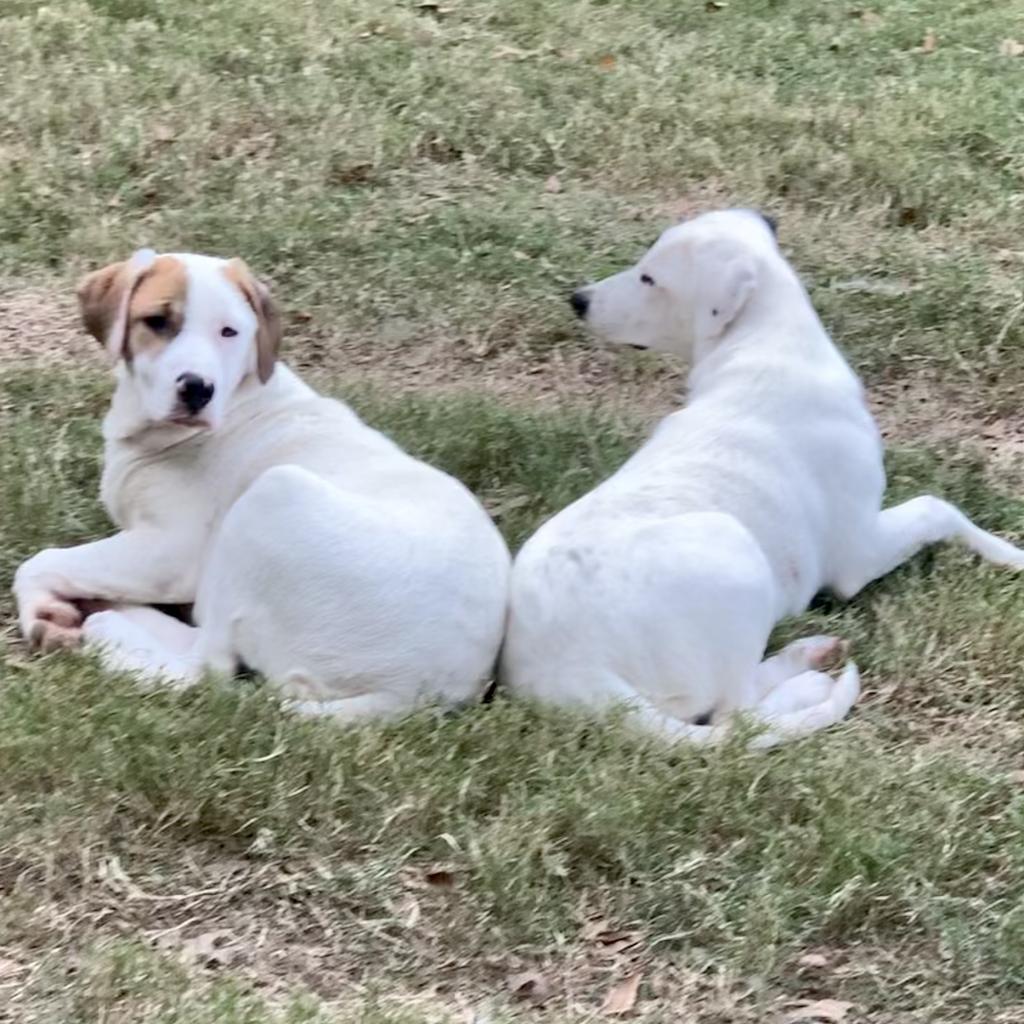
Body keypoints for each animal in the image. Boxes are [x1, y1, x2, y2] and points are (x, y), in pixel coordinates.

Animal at [16, 247, 512, 720]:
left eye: (228, 332)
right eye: (157, 322)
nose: (197, 389)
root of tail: (410, 695)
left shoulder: (172, 552)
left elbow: (39, 562)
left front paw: (40, 613)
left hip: (274, 495)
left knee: (207, 668)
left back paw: (109, 623)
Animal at [503, 205, 1024, 745]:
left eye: (649, 277)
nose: (578, 300)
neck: (764, 343)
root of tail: (573, 672)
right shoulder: (857, 553)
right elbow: (936, 508)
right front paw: (1011, 555)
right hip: (733, 548)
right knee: (737, 712)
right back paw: (806, 666)